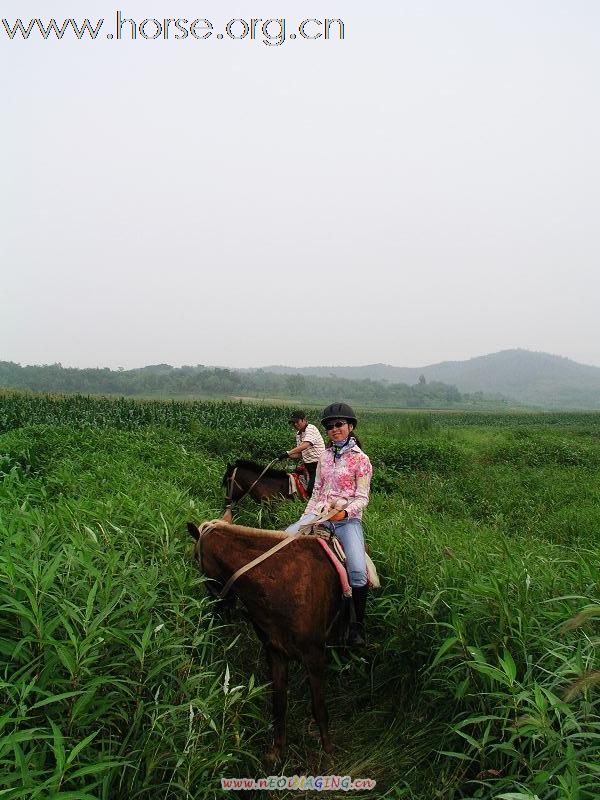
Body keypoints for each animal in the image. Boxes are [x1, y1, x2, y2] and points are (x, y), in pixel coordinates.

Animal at [188, 520, 346, 764]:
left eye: (196, 558)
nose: (218, 608)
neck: (279, 583)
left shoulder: (314, 655)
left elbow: (319, 707)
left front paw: (328, 752)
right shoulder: (275, 651)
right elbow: (279, 704)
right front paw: (277, 751)